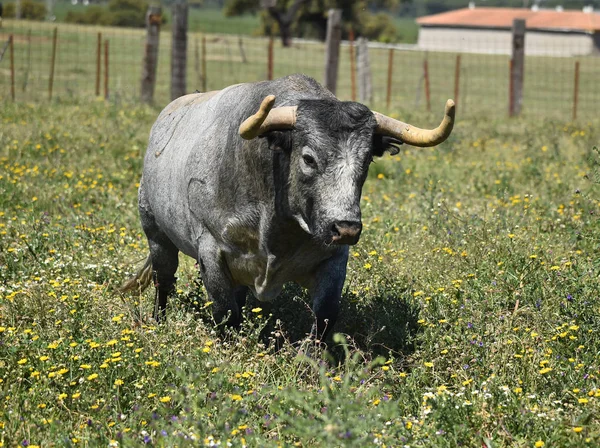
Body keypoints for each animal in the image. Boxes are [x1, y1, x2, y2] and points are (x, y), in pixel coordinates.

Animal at [123, 74, 454, 340]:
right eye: (308, 158)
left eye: (367, 160)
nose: (346, 228)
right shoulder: (211, 250)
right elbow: (225, 313)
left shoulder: (334, 259)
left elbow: (324, 317)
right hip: (156, 234)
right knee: (164, 281)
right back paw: (159, 321)